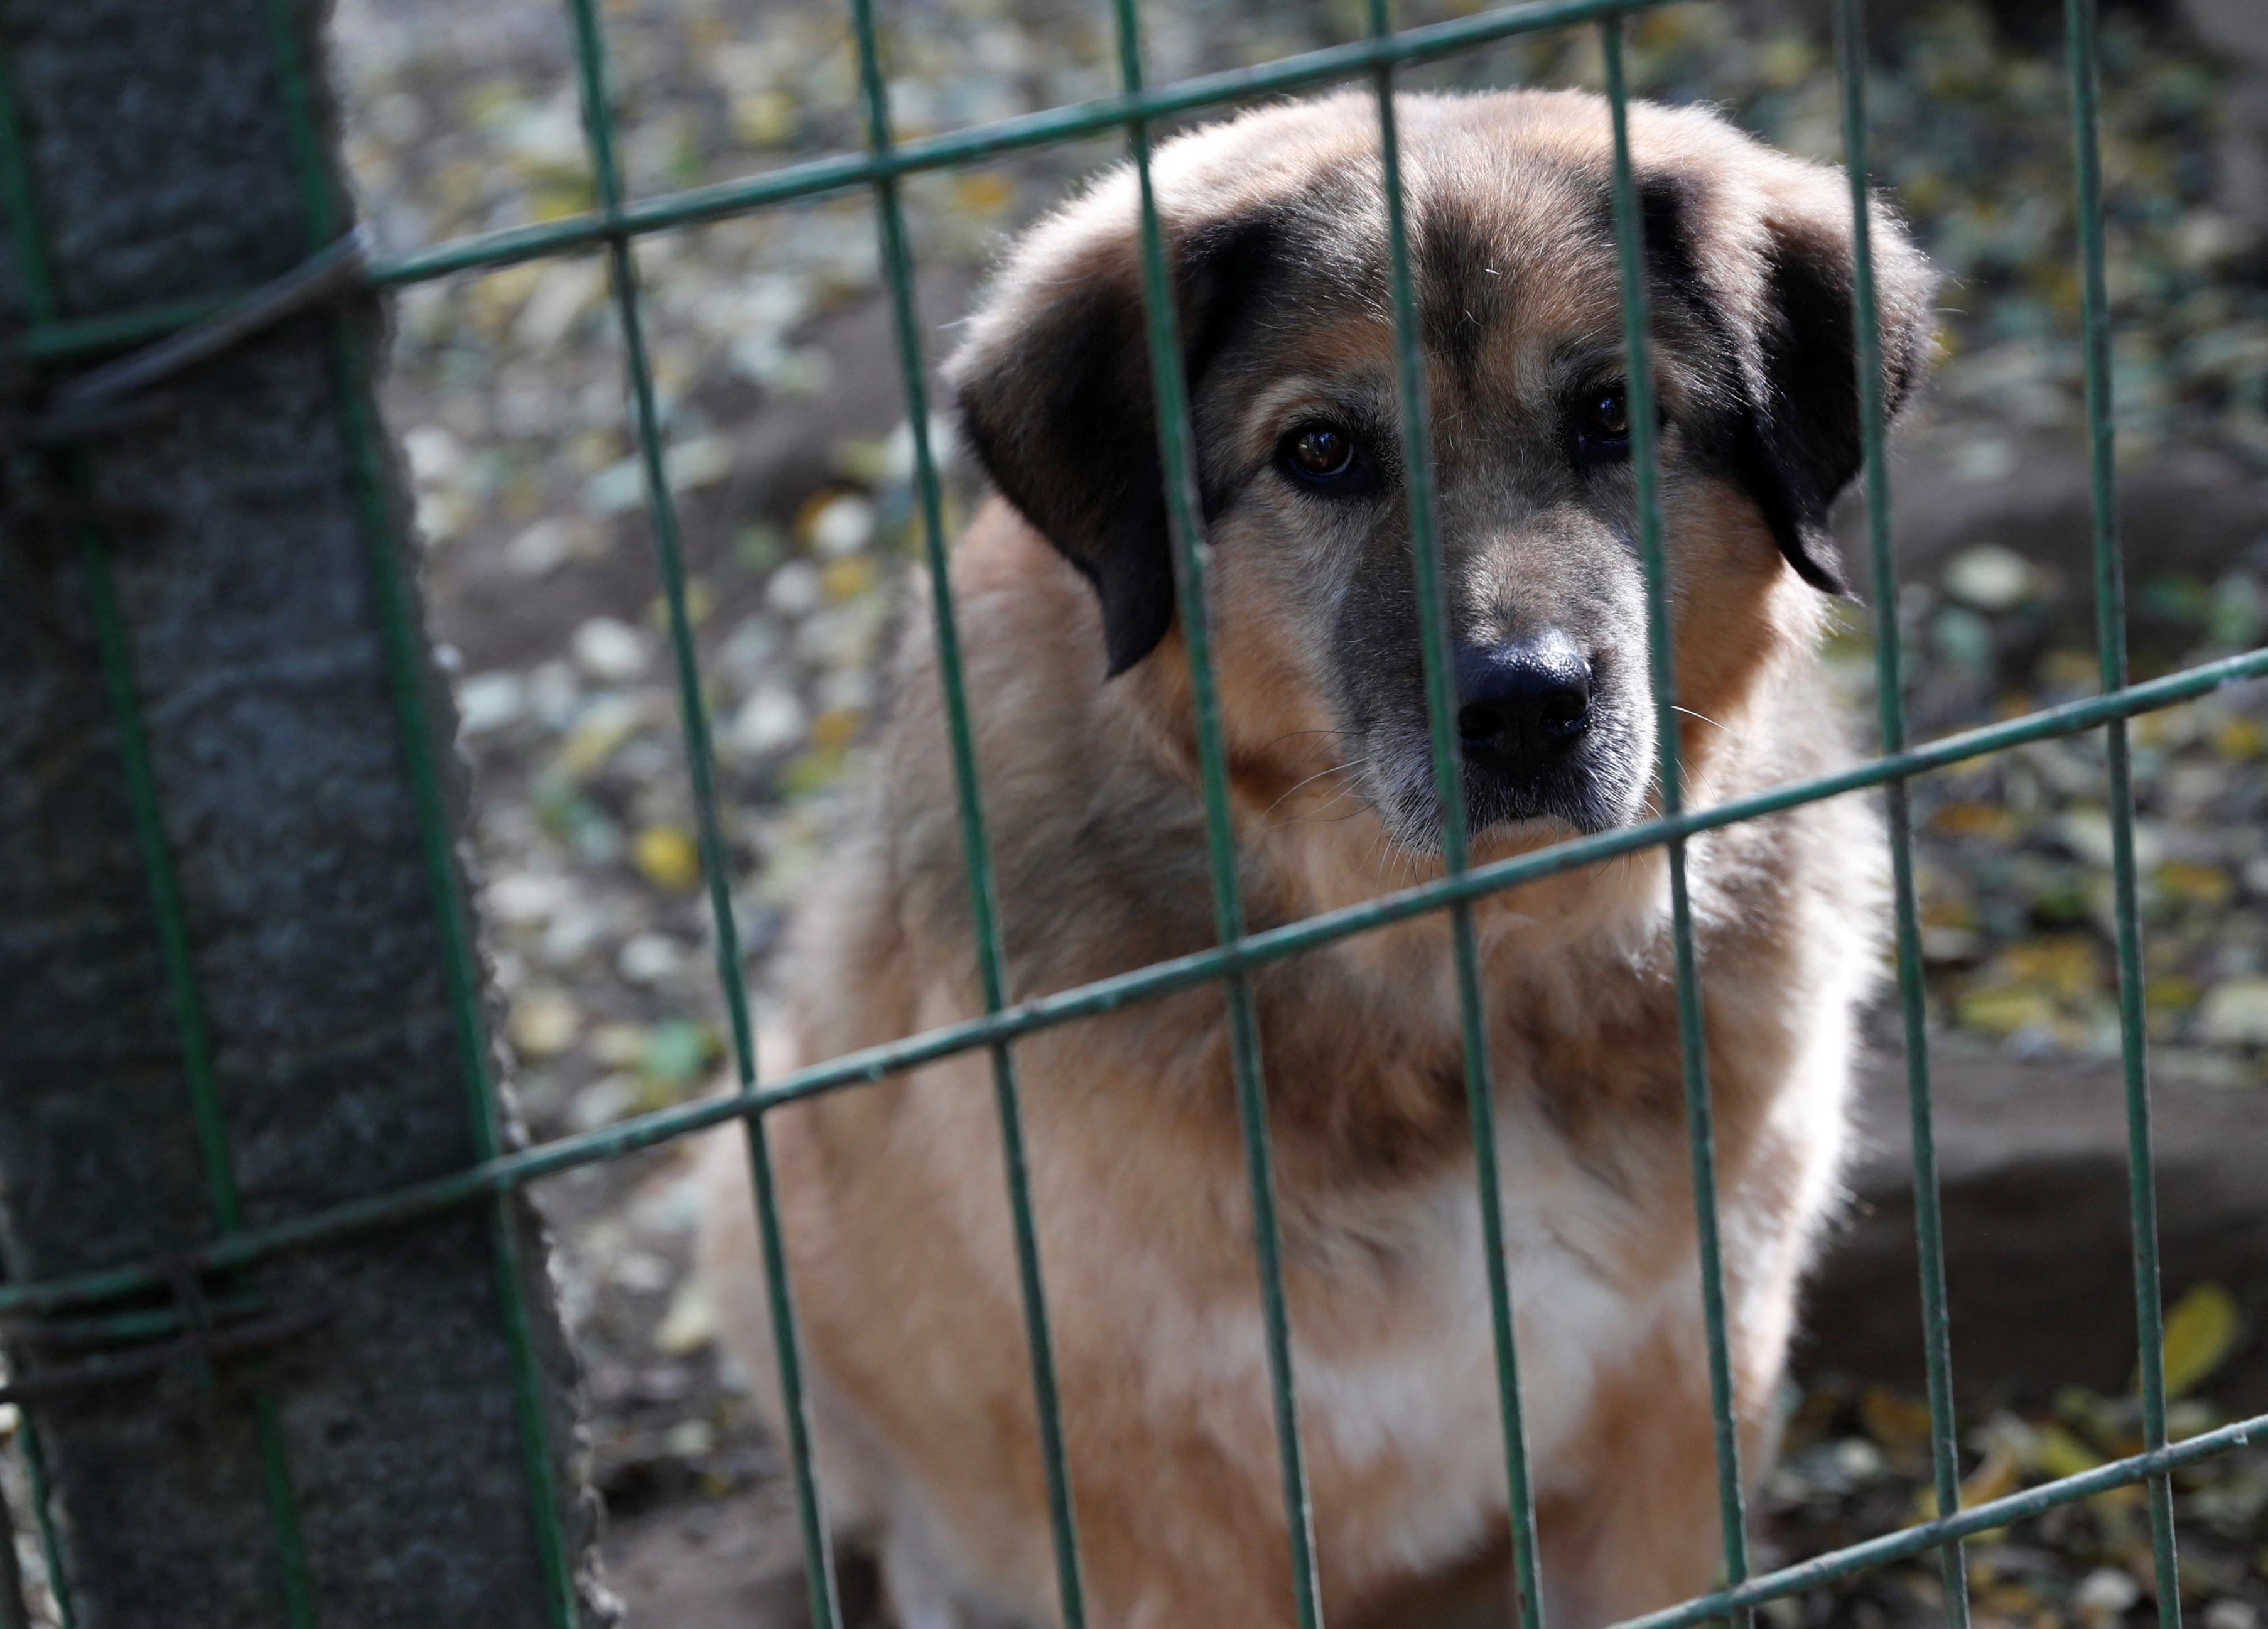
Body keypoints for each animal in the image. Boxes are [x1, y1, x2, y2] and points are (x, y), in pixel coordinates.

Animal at [703, 86, 1932, 1629]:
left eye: (1612, 413)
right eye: (1323, 451)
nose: (1527, 707)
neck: (1460, 971)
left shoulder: (1684, 1405)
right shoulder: (1181, 1511)